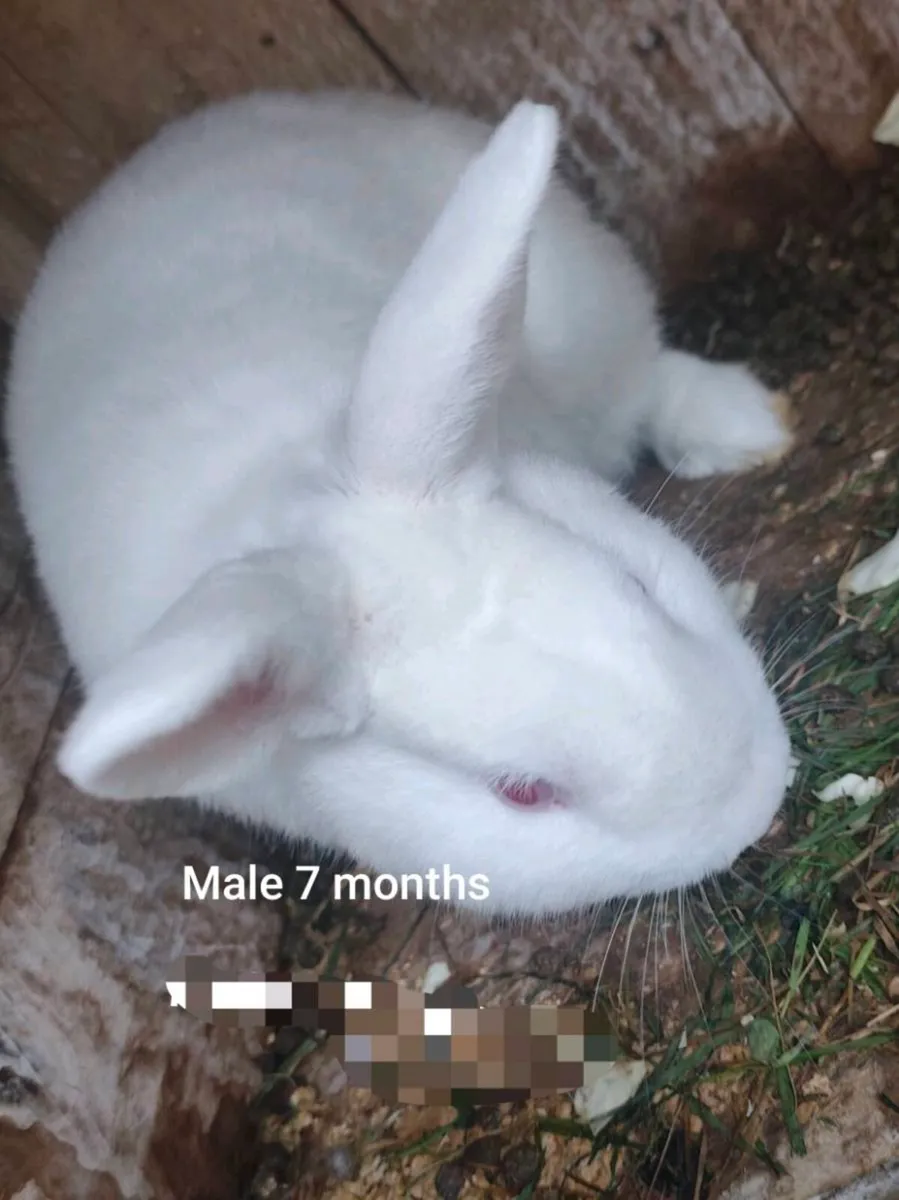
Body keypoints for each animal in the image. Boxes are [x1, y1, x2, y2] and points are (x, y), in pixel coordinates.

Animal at [4, 90, 793, 917]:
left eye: (638, 585)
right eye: (521, 792)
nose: (758, 797)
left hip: (583, 305)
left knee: (646, 379)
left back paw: (744, 425)